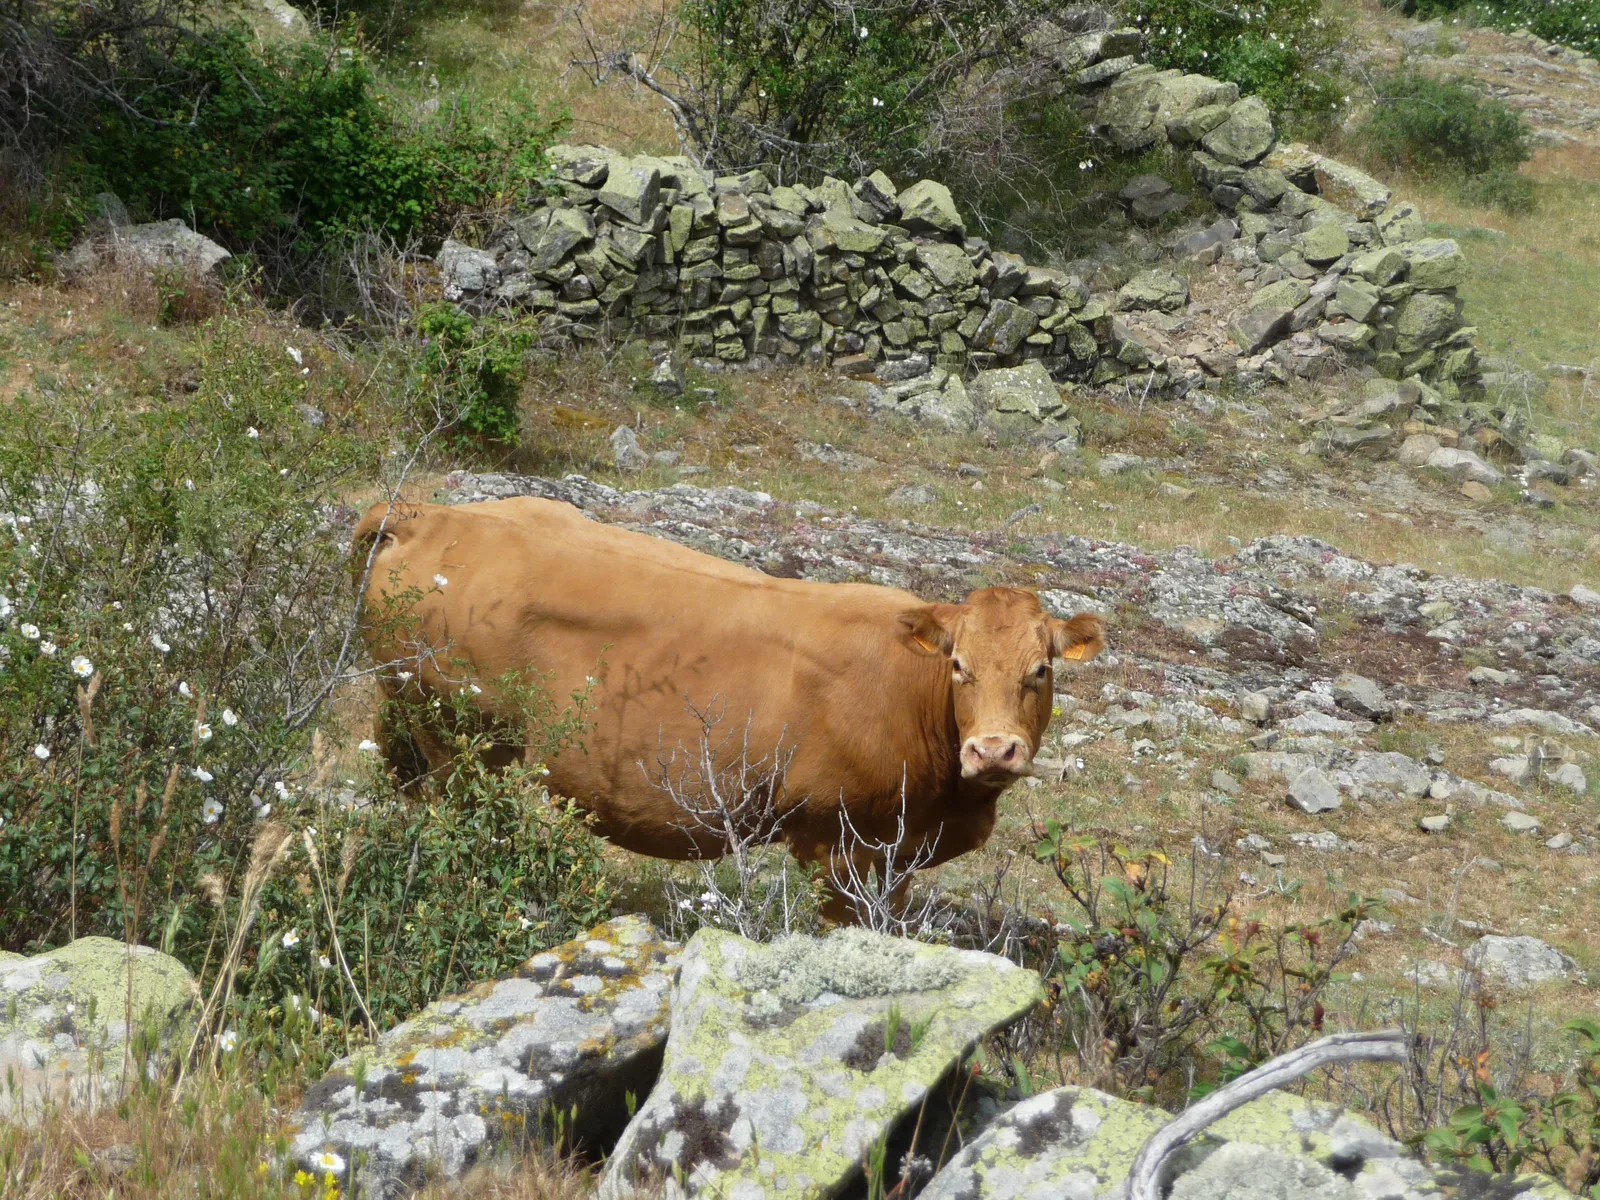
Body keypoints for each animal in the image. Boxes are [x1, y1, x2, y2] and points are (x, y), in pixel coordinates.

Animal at [352, 495, 1105, 921]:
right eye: (958, 666)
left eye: (1041, 670)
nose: (994, 750)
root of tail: (435, 514)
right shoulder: (834, 843)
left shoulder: (898, 854)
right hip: (456, 732)